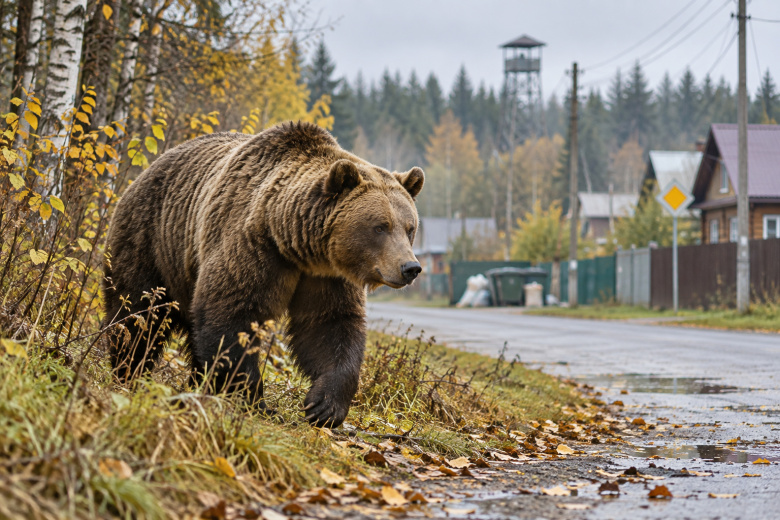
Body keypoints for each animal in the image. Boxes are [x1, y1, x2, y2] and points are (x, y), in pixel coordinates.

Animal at [102, 121, 424, 427]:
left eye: (409, 228)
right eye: (380, 226)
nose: (410, 268)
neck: (293, 243)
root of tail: (146, 171)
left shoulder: (326, 276)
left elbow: (330, 325)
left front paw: (324, 405)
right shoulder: (252, 247)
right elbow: (231, 316)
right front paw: (257, 402)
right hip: (151, 242)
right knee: (137, 315)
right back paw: (129, 371)